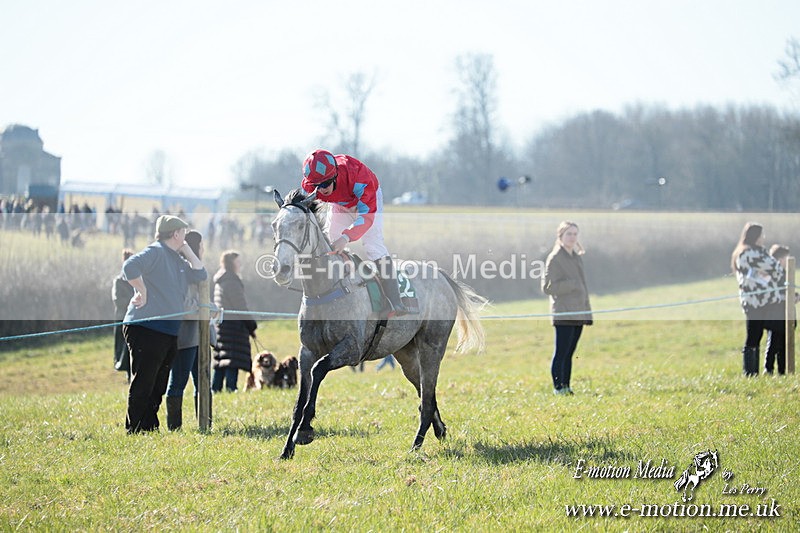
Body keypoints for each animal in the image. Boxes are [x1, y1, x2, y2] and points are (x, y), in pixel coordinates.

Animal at [270, 188, 486, 459]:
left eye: (300, 225)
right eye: (274, 226)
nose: (281, 269)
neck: (326, 288)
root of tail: (441, 276)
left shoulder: (352, 349)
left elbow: (319, 371)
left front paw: (305, 430)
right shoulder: (306, 351)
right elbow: (300, 399)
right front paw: (286, 449)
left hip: (432, 347)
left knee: (427, 397)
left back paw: (415, 445)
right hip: (406, 354)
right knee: (426, 393)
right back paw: (439, 429)